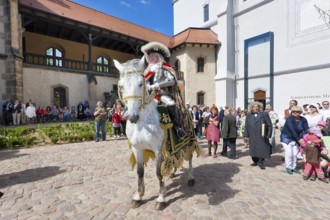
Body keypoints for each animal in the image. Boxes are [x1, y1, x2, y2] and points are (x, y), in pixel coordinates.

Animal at [113, 57, 196, 209]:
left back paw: (191, 178)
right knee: (174, 157)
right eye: (121, 86)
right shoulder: (137, 149)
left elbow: (158, 172)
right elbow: (140, 172)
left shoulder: (158, 150)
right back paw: (172, 173)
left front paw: (161, 198)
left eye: (141, 83)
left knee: (190, 157)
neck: (142, 123)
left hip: (189, 141)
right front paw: (139, 196)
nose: (132, 116)